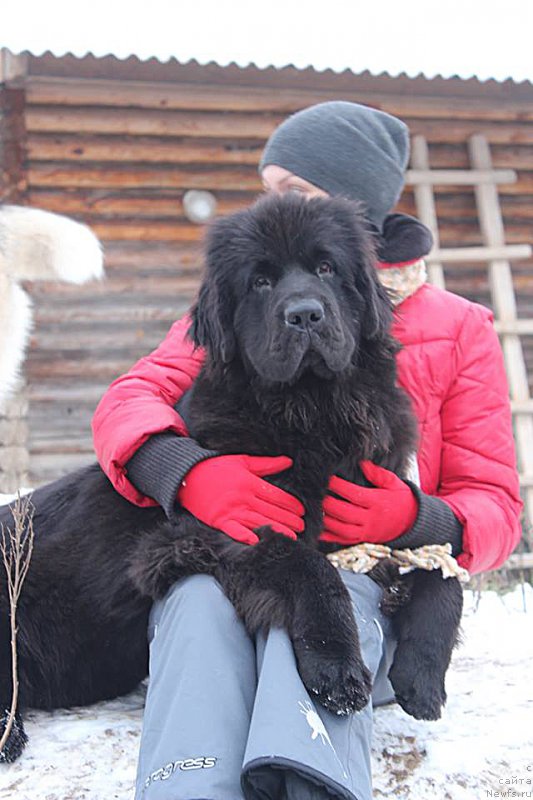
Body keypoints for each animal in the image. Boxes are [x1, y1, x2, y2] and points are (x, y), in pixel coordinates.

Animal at [0, 194, 462, 764]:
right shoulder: (207, 532)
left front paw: (422, 678)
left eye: (326, 268)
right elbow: (310, 567)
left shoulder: (377, 519)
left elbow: (443, 566)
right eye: (260, 281)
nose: (304, 314)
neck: (313, 413)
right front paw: (337, 667)